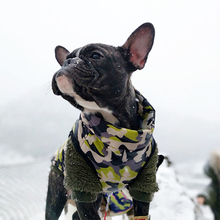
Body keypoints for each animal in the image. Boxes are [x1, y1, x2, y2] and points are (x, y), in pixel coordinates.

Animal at [45, 23, 163, 219]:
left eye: (95, 56)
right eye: (64, 61)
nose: (68, 63)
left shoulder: (143, 189)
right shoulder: (82, 187)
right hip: (57, 195)